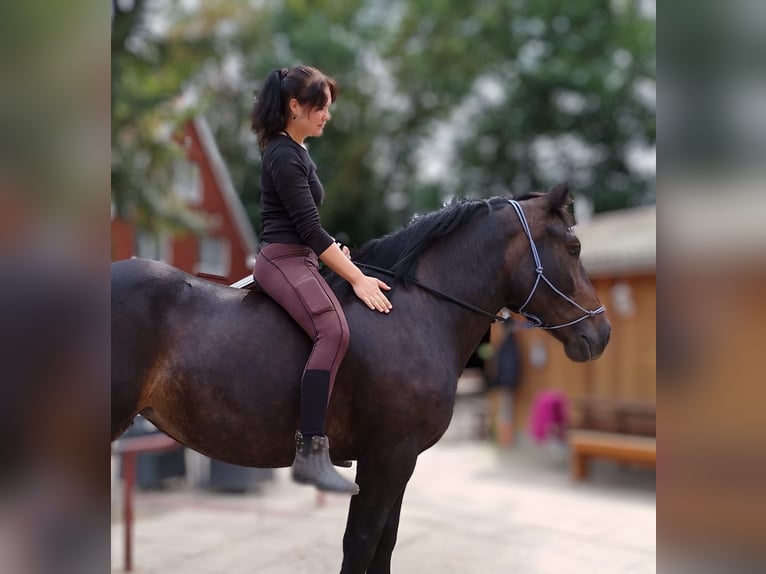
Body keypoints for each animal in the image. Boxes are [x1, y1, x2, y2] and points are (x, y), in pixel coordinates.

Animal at [111, 186, 612, 574]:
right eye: (574, 248)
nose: (601, 332)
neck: (416, 310)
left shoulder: (399, 463)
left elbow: (384, 546)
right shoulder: (387, 457)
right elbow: (361, 545)